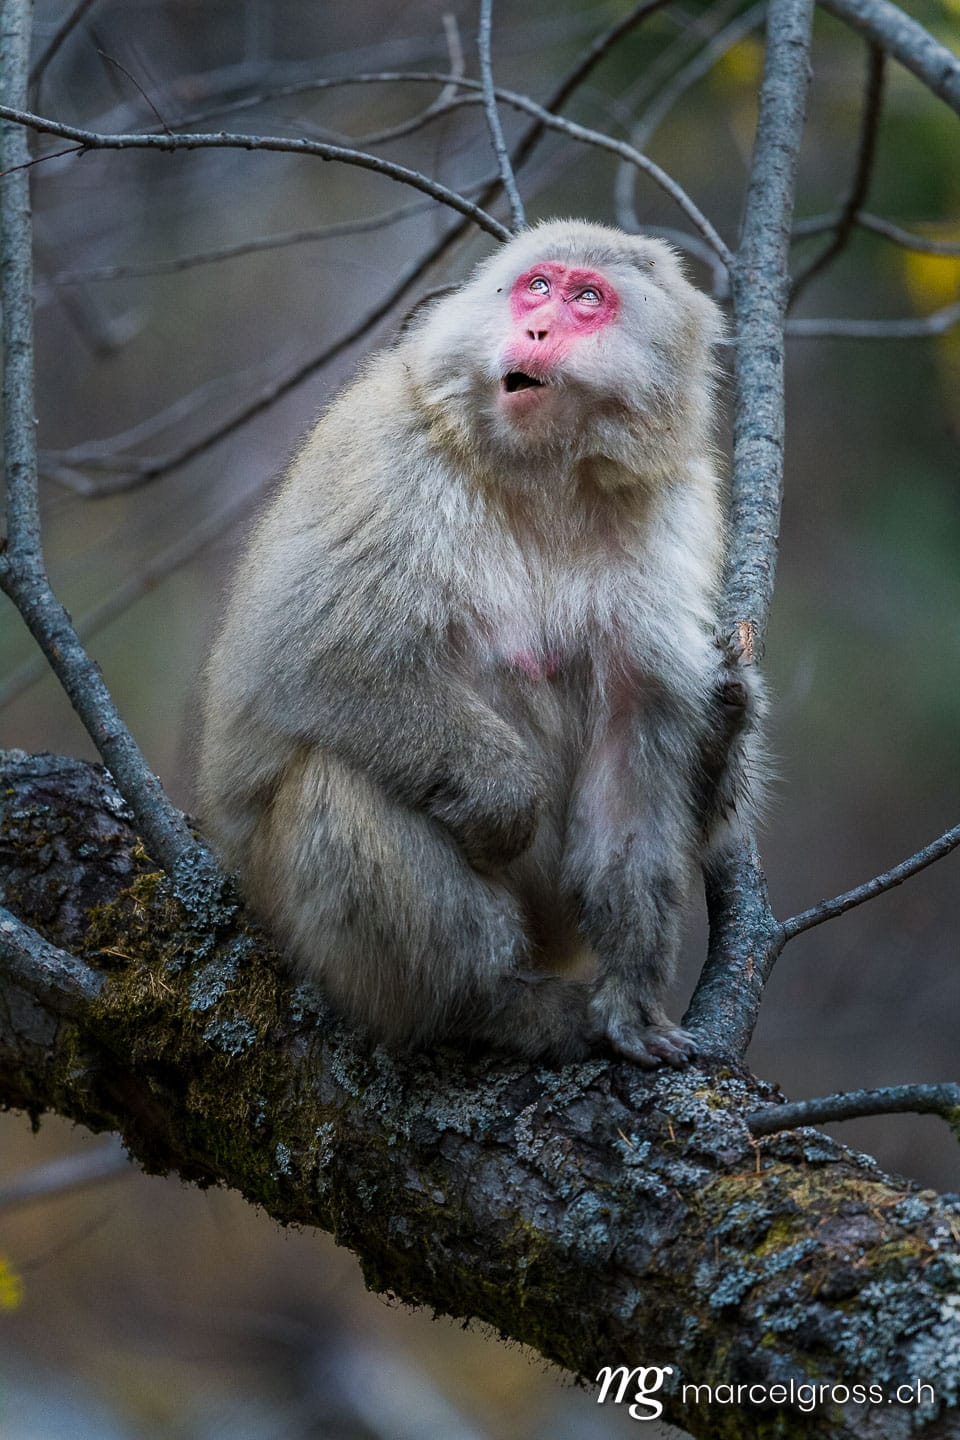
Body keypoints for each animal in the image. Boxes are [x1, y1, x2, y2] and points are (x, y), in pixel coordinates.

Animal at [198, 218, 764, 1068]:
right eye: (537, 287)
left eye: (587, 298)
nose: (536, 329)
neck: (543, 477)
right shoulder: (387, 456)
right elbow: (306, 659)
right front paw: (504, 800)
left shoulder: (673, 513)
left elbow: (634, 741)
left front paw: (631, 995)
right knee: (339, 778)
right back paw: (484, 1004)